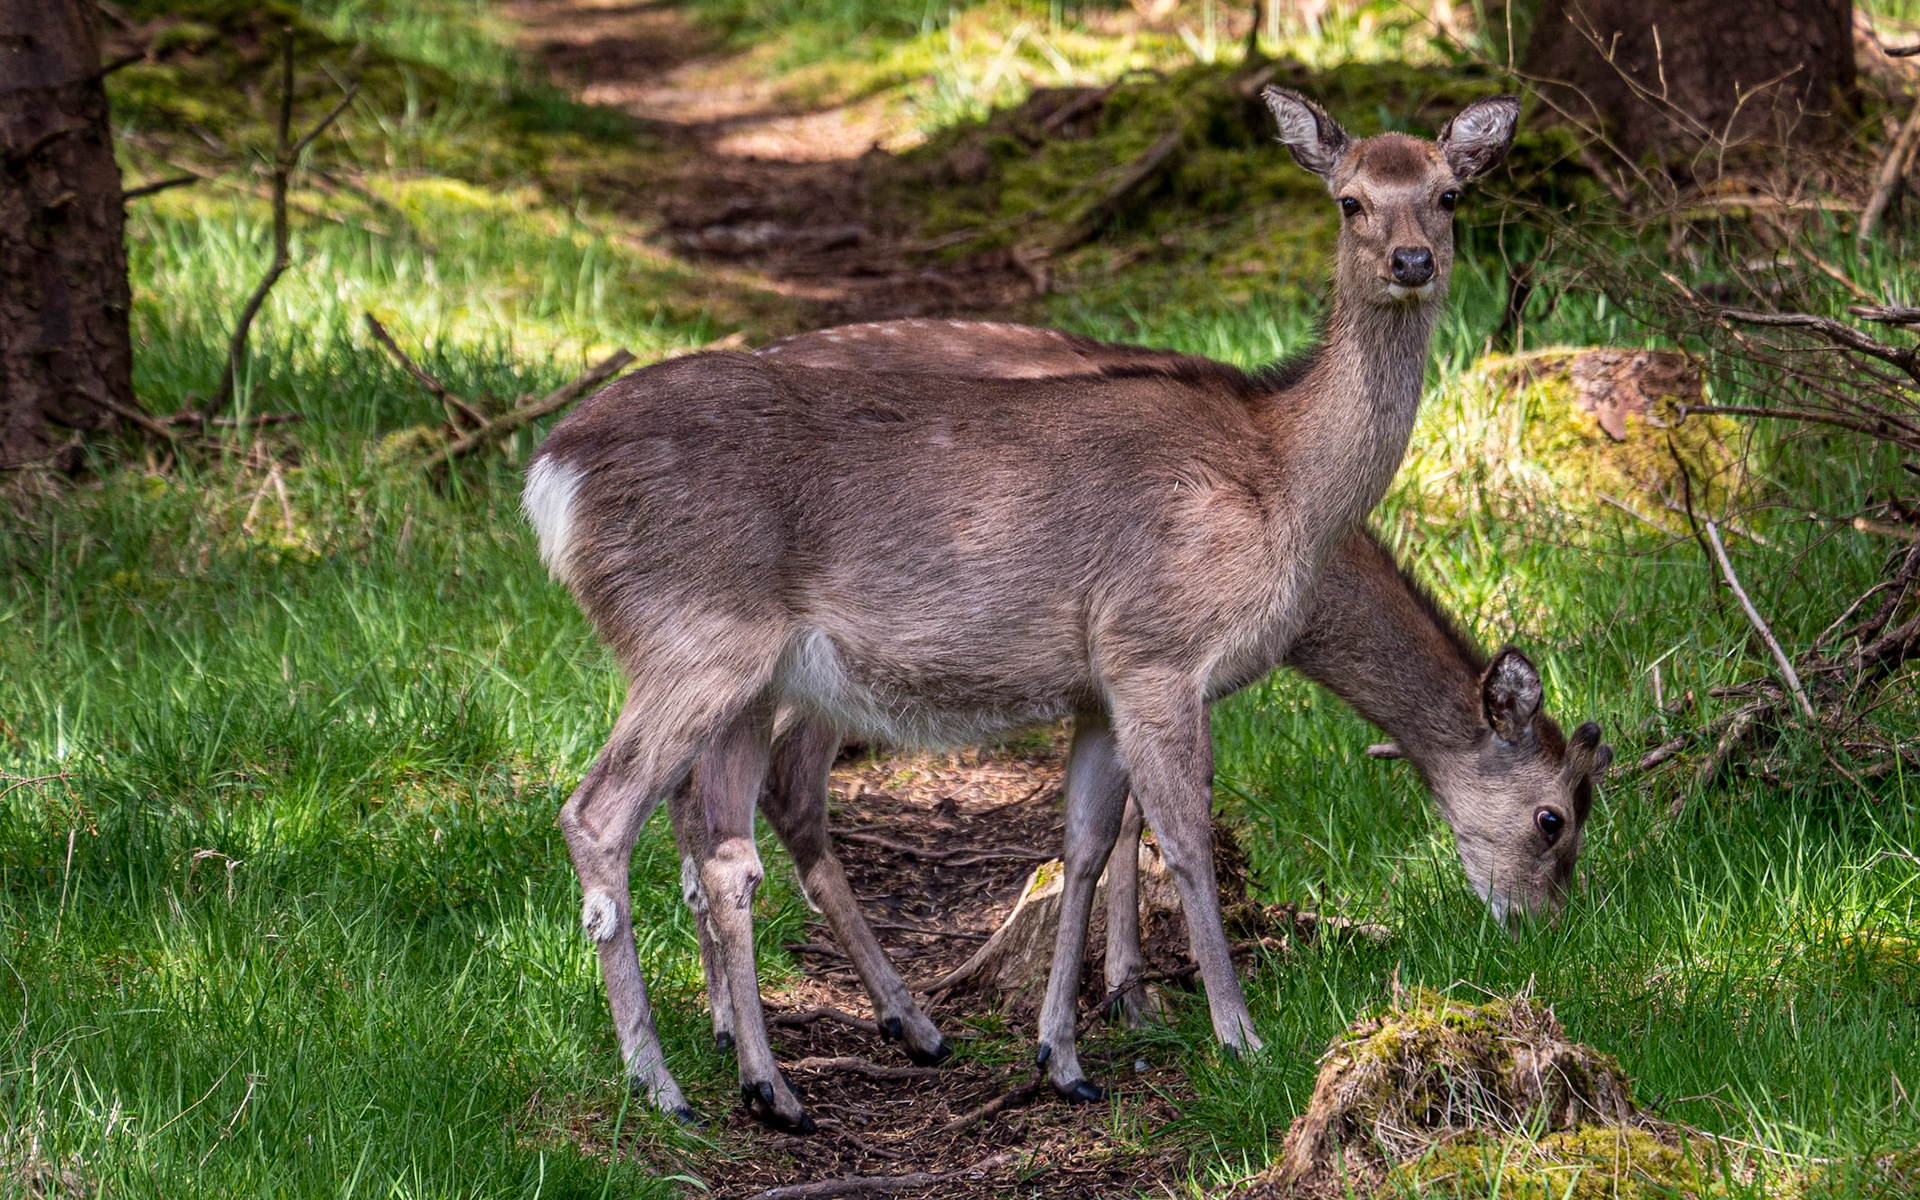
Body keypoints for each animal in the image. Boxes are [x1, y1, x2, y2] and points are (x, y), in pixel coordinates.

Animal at [522, 89, 1523, 1130]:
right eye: (1349, 200)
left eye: (1450, 194)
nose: (1412, 261)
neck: (1284, 483)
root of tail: (551, 476)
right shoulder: (1157, 648)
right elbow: (1185, 840)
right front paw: (1237, 1037)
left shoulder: (1099, 684)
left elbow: (1082, 844)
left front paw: (1064, 1056)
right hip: (694, 637)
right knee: (601, 815)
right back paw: (665, 1081)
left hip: (743, 676)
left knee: (720, 842)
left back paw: (775, 1075)